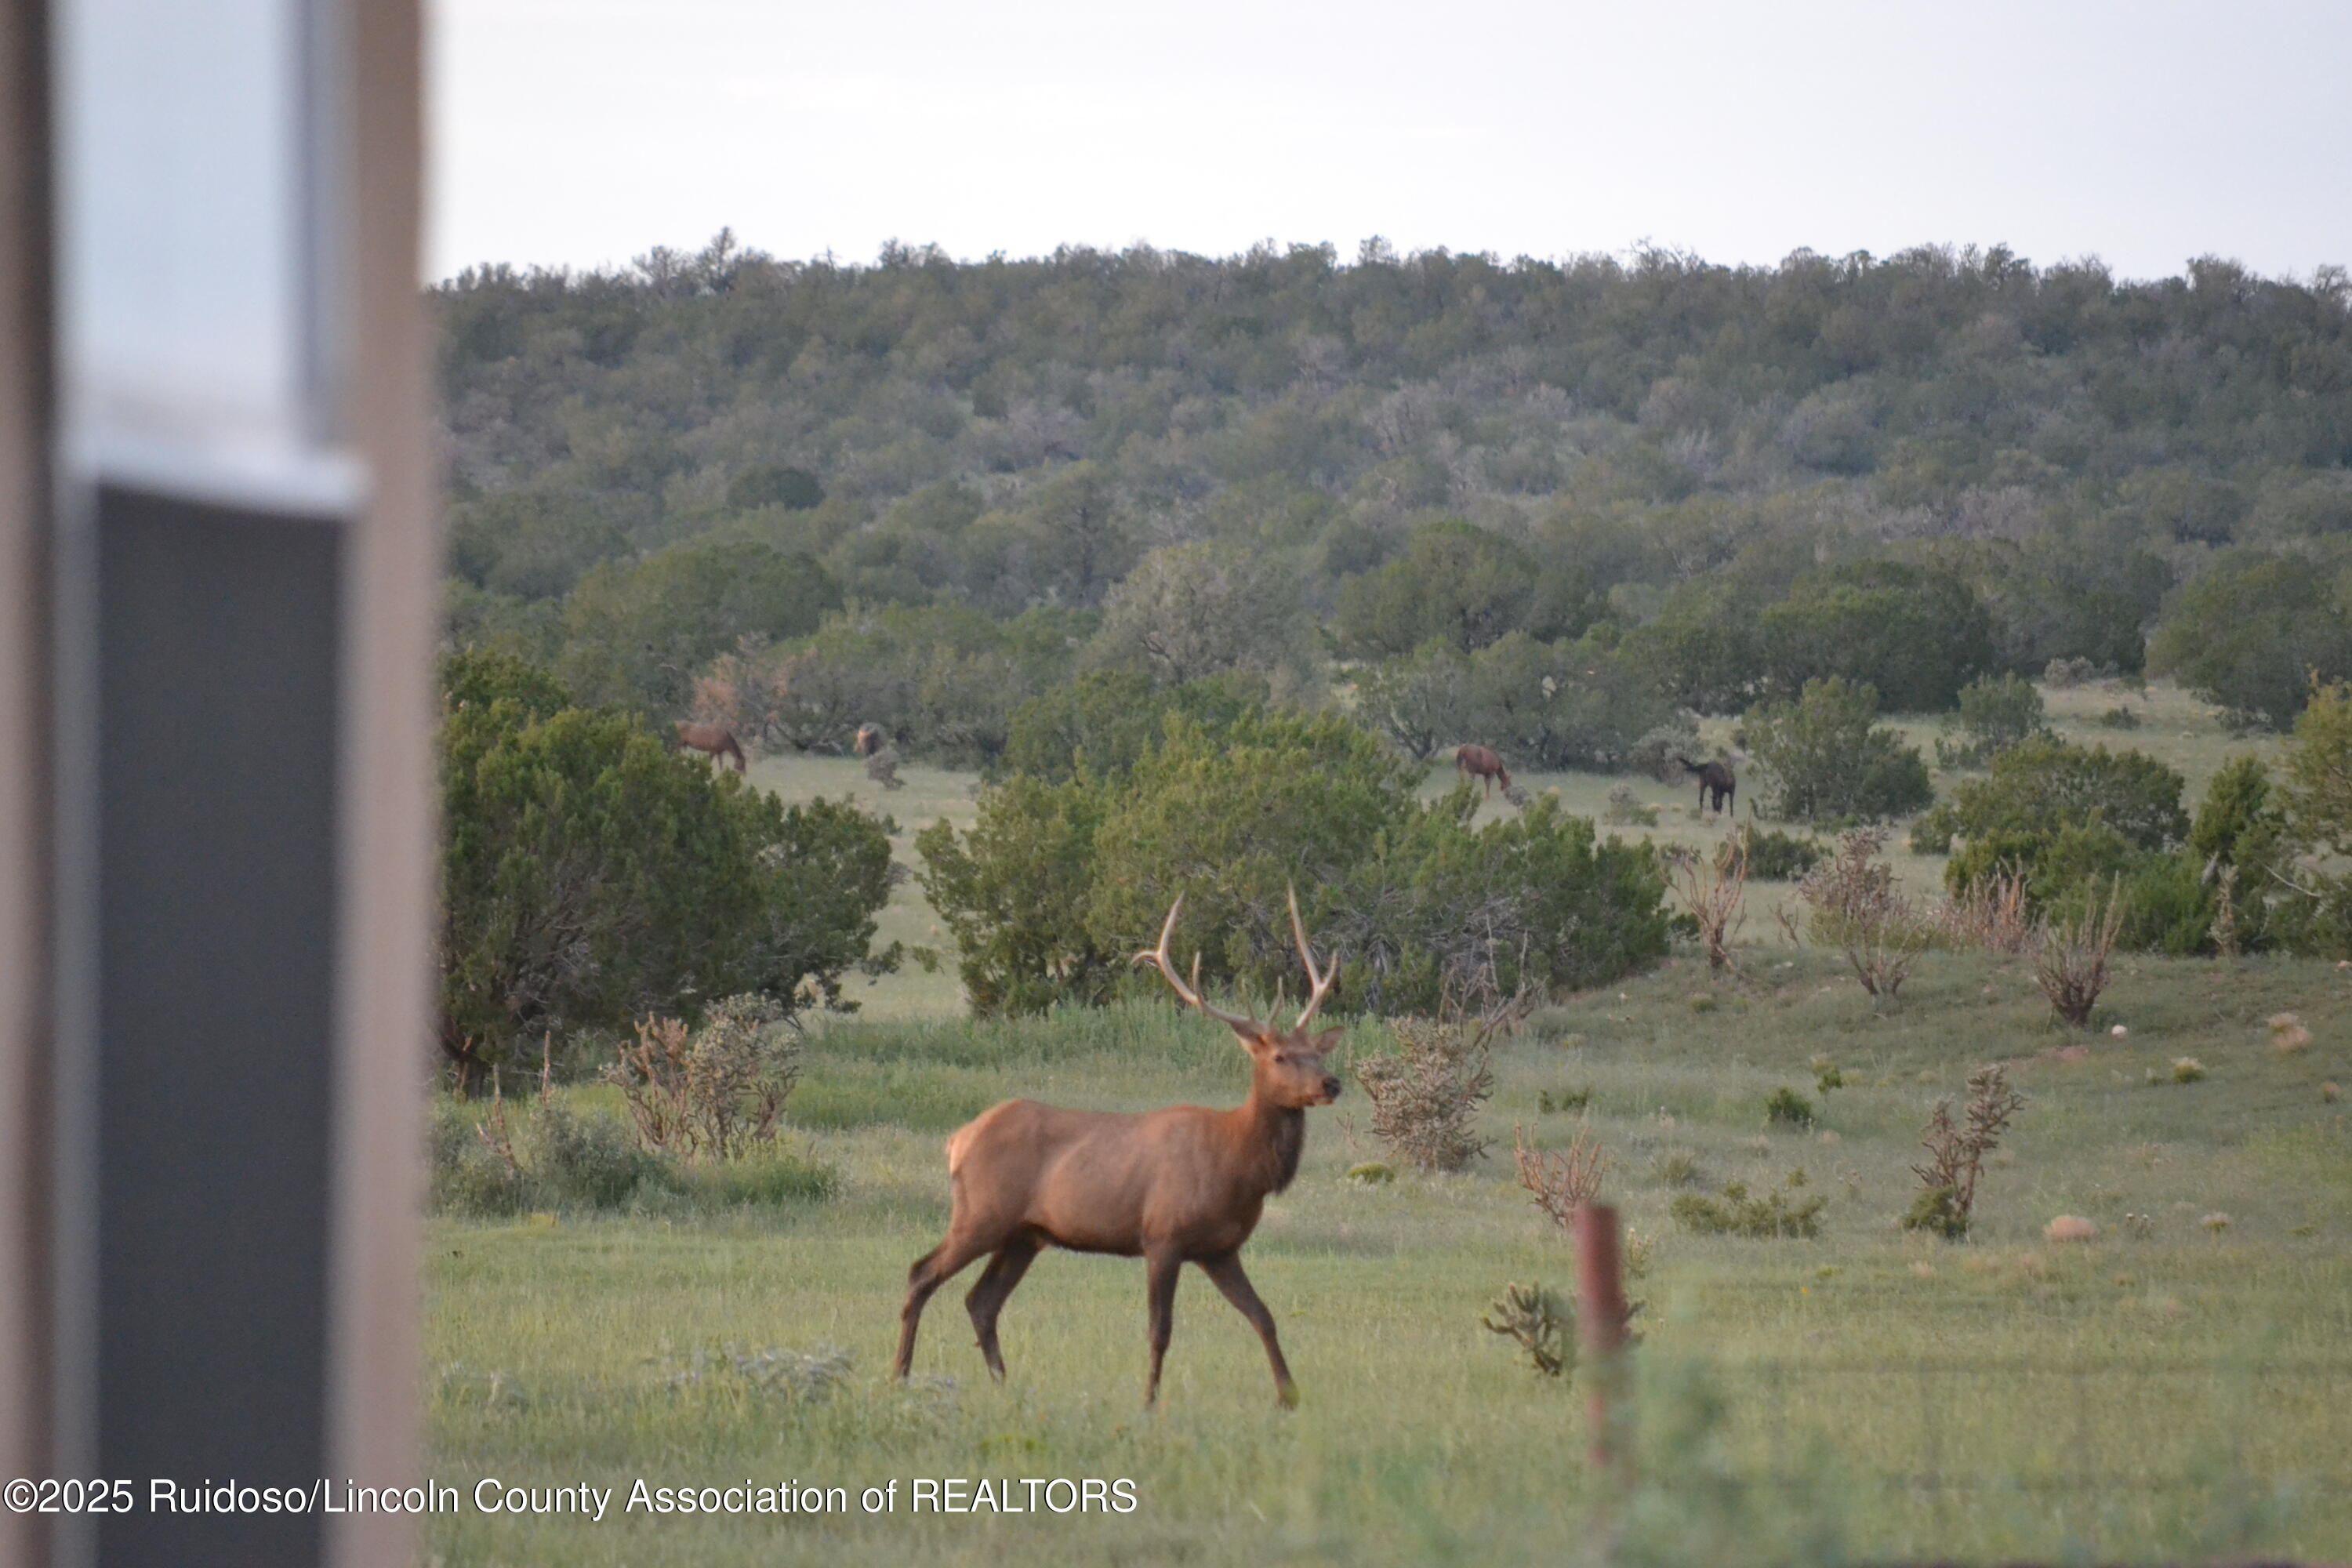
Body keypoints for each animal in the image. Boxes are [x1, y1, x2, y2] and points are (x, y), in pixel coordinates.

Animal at [894, 893, 1345, 1410]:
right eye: (1280, 1056)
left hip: (1024, 1234)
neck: (1239, 1168)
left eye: (1318, 1051)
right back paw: (899, 1375)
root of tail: (957, 1140)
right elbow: (1159, 1330)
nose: (1331, 1083)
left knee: (981, 1300)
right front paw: (1148, 1402)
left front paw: (1289, 1396)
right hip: (980, 1214)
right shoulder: (1163, 1236)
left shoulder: (1220, 1248)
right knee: (921, 1273)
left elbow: (1263, 1315)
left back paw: (1002, 1383)